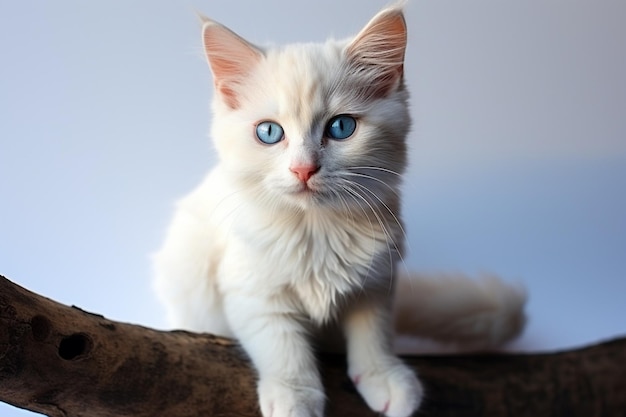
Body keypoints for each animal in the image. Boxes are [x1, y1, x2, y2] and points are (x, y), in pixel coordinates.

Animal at [154, 4, 524, 416]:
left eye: (341, 127)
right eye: (269, 133)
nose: (304, 169)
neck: (317, 228)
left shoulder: (378, 280)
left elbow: (373, 333)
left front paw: (383, 376)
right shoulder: (252, 289)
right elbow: (282, 344)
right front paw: (295, 395)